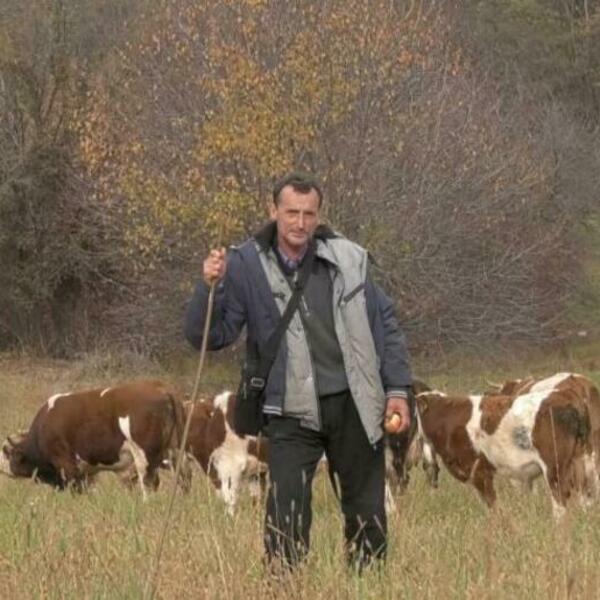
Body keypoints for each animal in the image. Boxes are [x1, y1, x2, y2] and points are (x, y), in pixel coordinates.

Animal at [0, 380, 191, 499]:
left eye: (5, 452)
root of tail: (160, 387)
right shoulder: (87, 474)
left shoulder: (67, 466)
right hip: (177, 453)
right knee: (184, 480)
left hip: (145, 457)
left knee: (150, 484)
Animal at [415, 386, 599, 519]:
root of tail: (567, 394)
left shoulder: (478, 471)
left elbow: (492, 505)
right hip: (584, 461)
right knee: (587, 496)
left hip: (555, 467)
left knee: (561, 500)